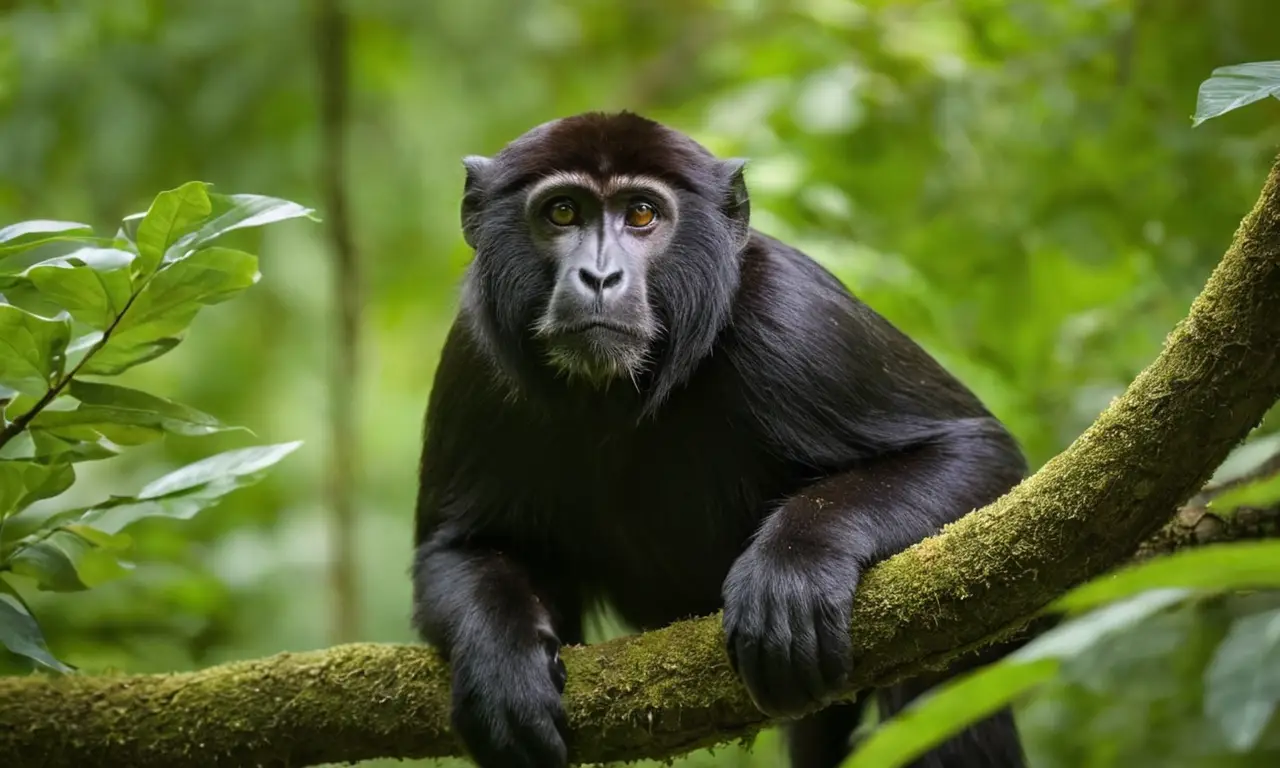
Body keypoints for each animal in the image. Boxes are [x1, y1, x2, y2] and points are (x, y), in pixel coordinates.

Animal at [411, 110, 1029, 768]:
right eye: (562, 212)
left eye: (641, 214)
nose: (600, 276)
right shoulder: (474, 352)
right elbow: (456, 547)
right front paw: (502, 666)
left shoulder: (793, 316)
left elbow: (976, 451)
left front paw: (790, 571)